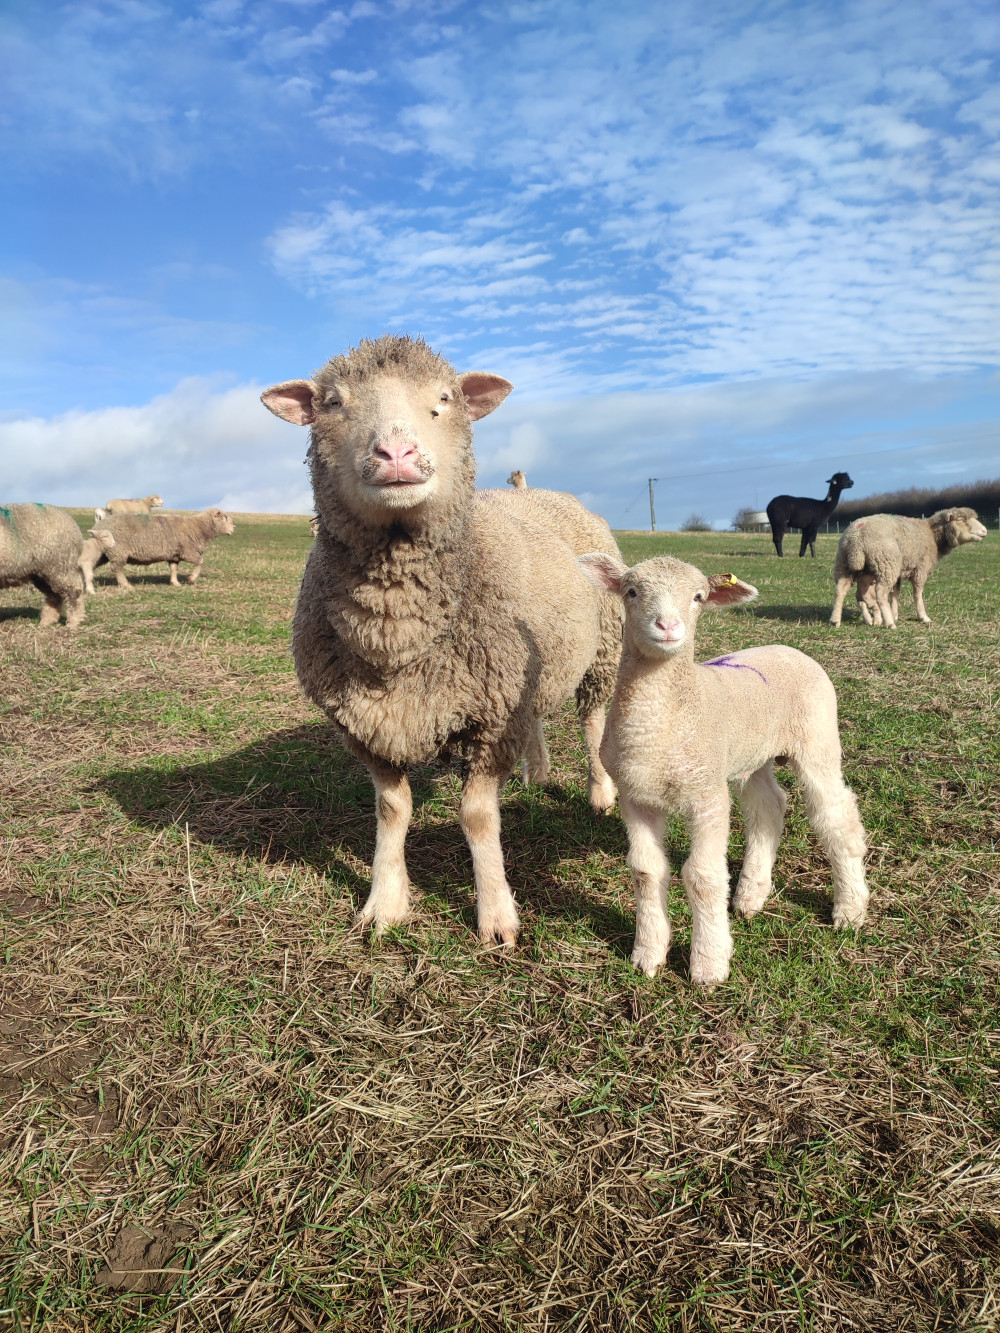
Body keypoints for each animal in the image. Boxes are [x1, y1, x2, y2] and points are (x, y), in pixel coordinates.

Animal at [88, 503, 237, 589]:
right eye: (225, 518)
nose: (234, 528)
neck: (198, 528)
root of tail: (98, 526)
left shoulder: (175, 554)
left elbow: (173, 569)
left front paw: (175, 583)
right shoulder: (188, 551)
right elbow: (201, 562)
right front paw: (191, 578)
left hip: (104, 553)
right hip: (118, 551)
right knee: (116, 569)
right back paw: (126, 585)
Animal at [578, 546, 869, 986]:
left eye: (698, 597)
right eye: (631, 591)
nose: (668, 626)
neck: (659, 729)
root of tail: (788, 648)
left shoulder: (708, 795)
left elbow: (702, 876)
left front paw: (709, 964)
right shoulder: (635, 795)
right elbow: (646, 872)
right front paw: (648, 954)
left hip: (817, 740)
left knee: (836, 816)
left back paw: (850, 910)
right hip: (754, 754)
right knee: (768, 809)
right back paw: (750, 895)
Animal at [832, 506, 986, 626]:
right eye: (960, 520)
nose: (985, 531)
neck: (933, 536)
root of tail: (857, 536)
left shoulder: (900, 570)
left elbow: (895, 593)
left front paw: (894, 613)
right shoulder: (920, 569)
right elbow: (917, 593)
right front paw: (923, 617)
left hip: (846, 565)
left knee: (841, 591)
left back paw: (837, 620)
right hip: (887, 564)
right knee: (880, 594)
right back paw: (889, 623)